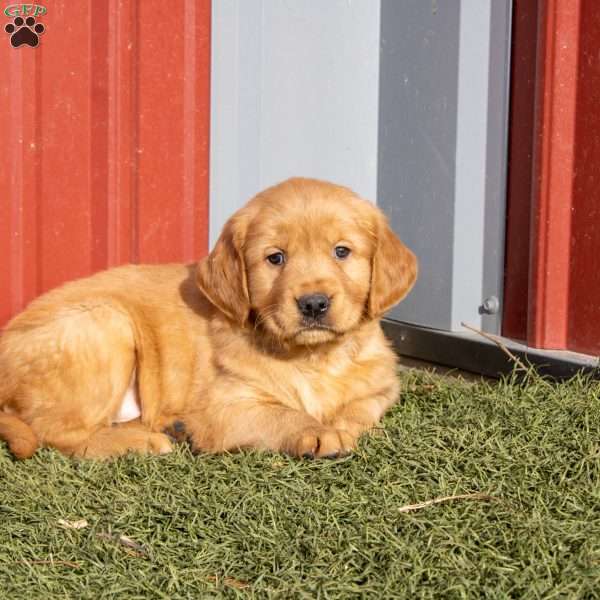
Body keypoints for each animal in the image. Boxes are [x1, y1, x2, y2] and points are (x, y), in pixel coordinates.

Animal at [0, 178, 418, 460]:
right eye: (276, 258)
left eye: (342, 251)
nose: (313, 304)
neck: (314, 357)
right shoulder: (223, 407)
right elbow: (281, 413)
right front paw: (317, 432)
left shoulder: (382, 386)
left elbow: (361, 407)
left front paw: (341, 423)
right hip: (106, 320)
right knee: (57, 432)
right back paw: (145, 441)